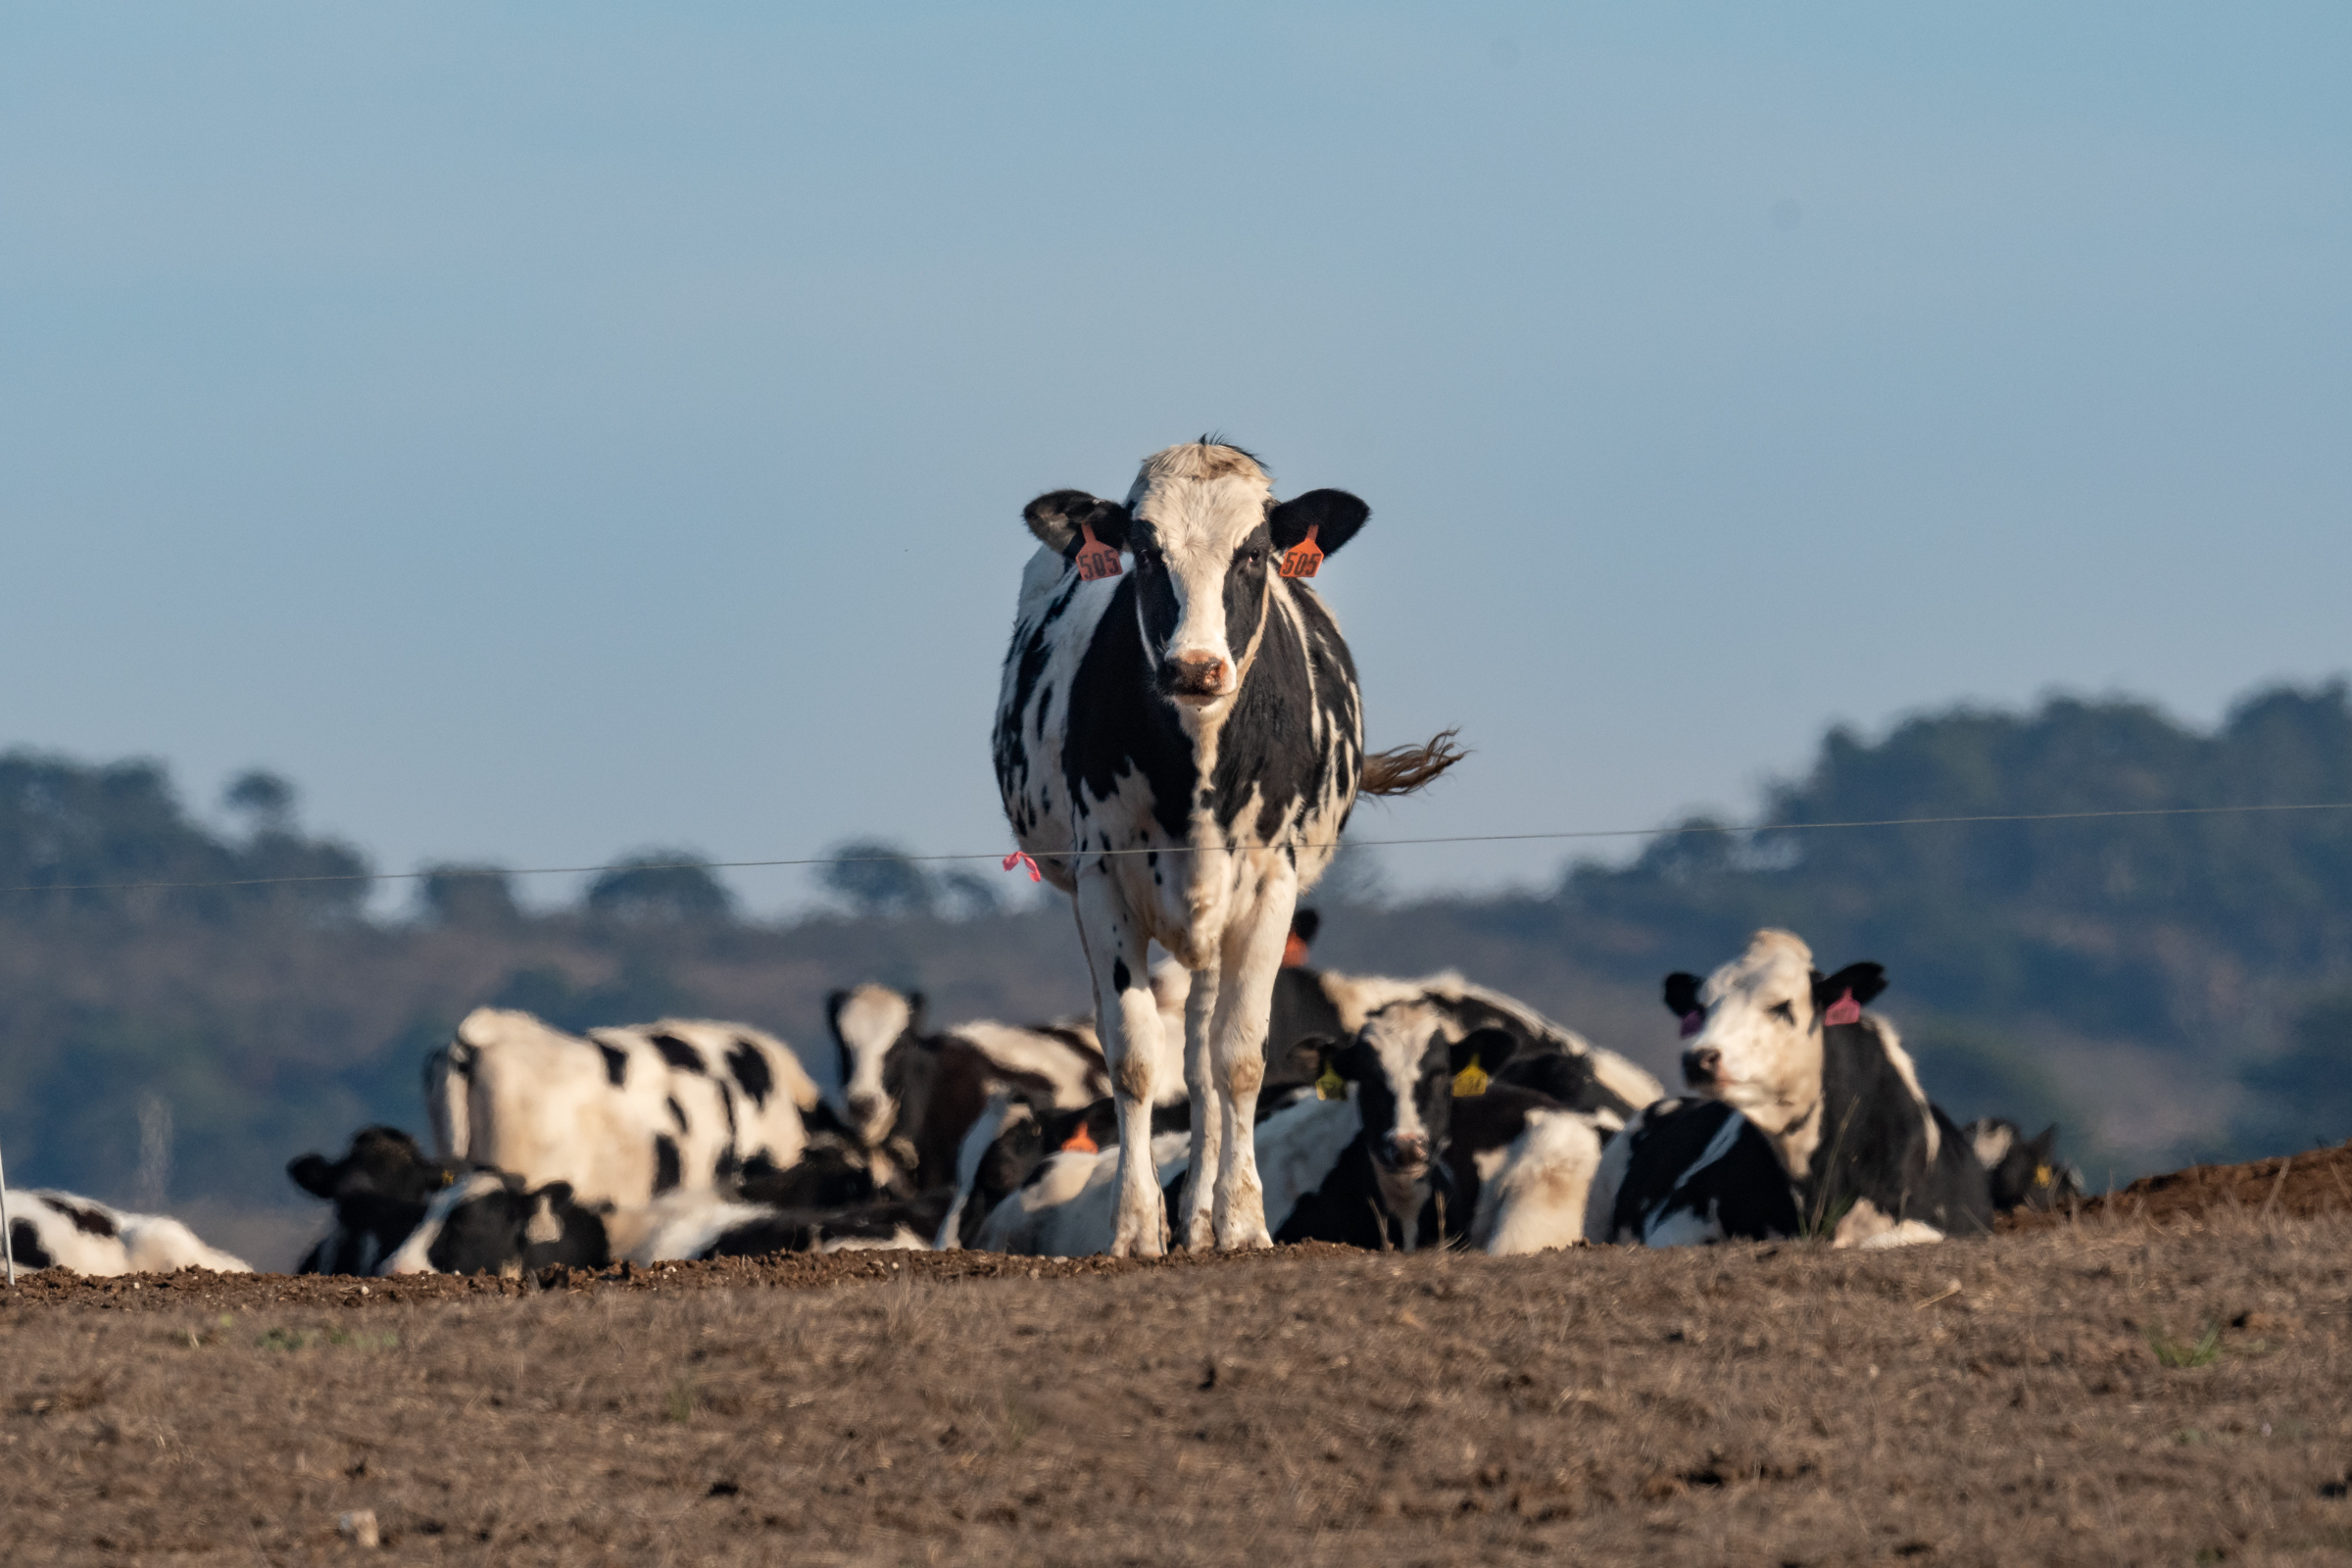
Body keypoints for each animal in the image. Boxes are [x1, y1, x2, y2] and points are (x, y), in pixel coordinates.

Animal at [995, 439, 1466, 1256]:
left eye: (1253, 553)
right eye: (1145, 552)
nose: (1194, 667)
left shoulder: (1272, 883)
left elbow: (1240, 1058)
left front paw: (1243, 1221)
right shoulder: (1102, 882)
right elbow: (1132, 1056)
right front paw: (1134, 1227)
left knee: (1206, 1063)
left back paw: (1205, 1217)